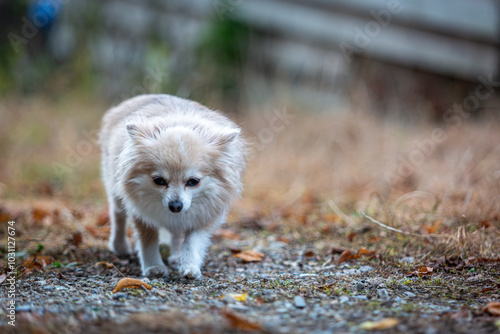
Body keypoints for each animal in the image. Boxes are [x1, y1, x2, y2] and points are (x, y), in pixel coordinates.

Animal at [99, 92, 246, 278]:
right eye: (159, 181)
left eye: (193, 182)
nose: (175, 205)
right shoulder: (142, 213)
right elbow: (148, 240)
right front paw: (154, 266)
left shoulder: (204, 215)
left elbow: (193, 241)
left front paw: (189, 266)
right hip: (115, 191)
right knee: (118, 216)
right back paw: (120, 247)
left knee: (177, 233)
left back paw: (177, 256)